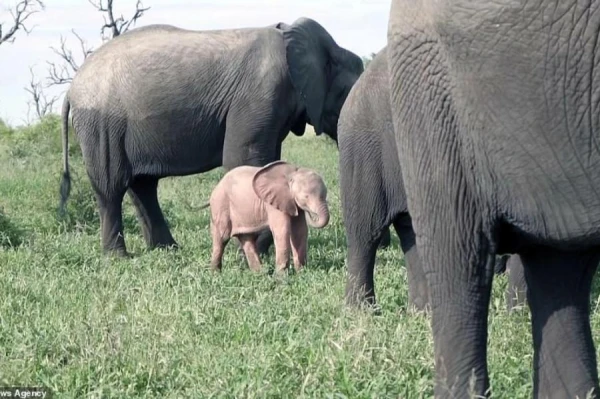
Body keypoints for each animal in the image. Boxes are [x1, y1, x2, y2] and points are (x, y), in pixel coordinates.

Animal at [58, 18, 364, 256]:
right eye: (346, 94)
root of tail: (71, 87)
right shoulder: (260, 93)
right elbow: (243, 159)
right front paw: (255, 250)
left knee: (143, 186)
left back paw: (168, 250)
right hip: (102, 125)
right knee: (111, 186)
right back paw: (119, 257)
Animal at [342, 47, 524, 314]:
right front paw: (518, 314)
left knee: (412, 232)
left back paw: (421, 312)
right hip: (364, 149)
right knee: (365, 231)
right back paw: (362, 312)